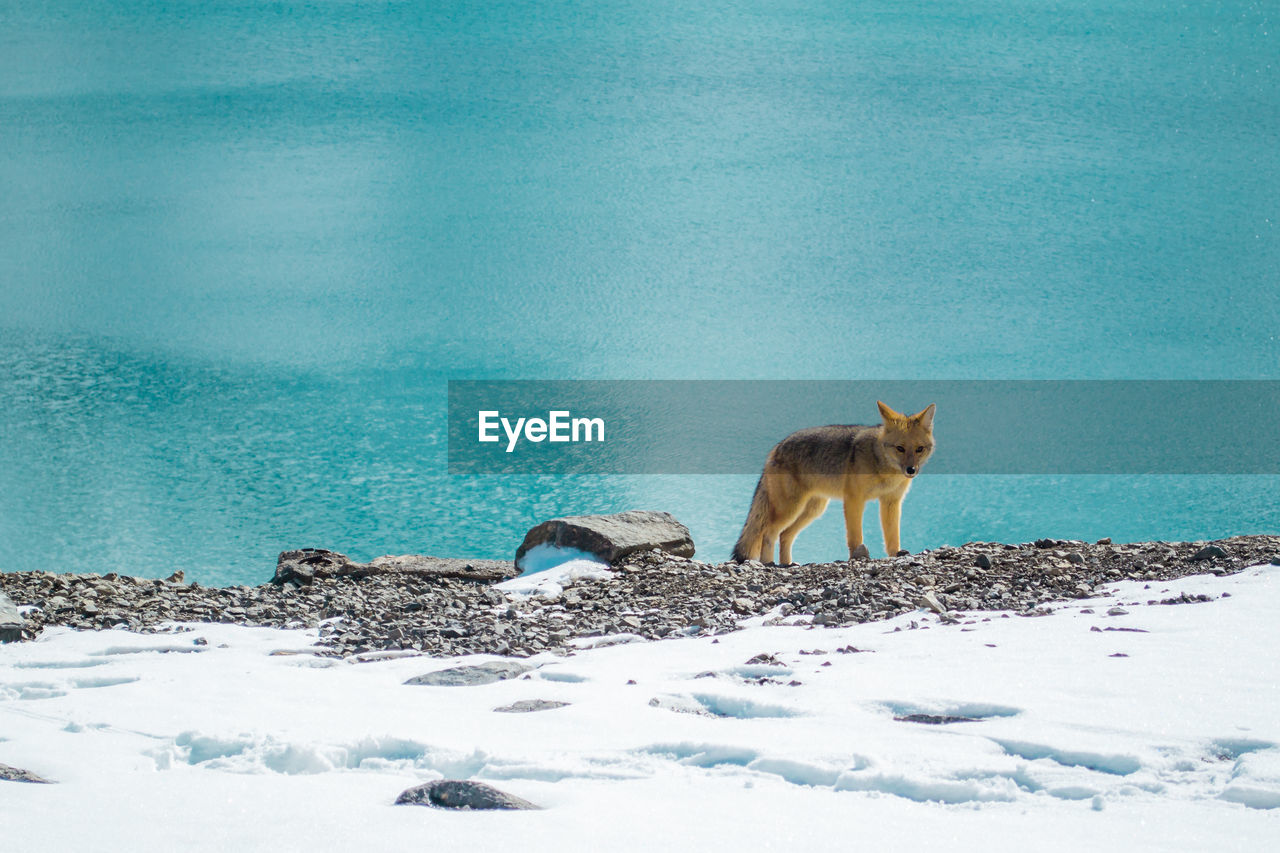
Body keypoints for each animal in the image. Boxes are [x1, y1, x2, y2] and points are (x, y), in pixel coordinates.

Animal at [731, 401, 936, 564]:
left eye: (919, 449)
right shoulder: (854, 499)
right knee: (768, 533)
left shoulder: (891, 502)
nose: (911, 470)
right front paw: (857, 557)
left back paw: (787, 565)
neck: (883, 468)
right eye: (900, 448)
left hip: (813, 510)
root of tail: (776, 448)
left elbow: (892, 536)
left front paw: (895, 554)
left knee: (784, 535)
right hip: (790, 509)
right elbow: (855, 535)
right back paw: (769, 564)